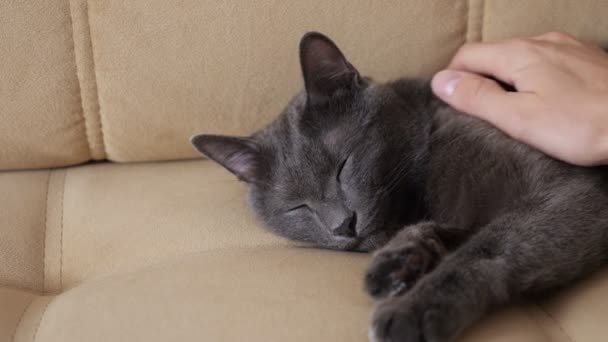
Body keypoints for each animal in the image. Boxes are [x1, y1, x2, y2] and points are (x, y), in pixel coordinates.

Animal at [190, 32, 608, 342]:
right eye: (297, 207)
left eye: (343, 166)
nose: (343, 225)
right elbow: (457, 231)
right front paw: (396, 263)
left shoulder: (569, 193)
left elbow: (489, 247)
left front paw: (412, 311)